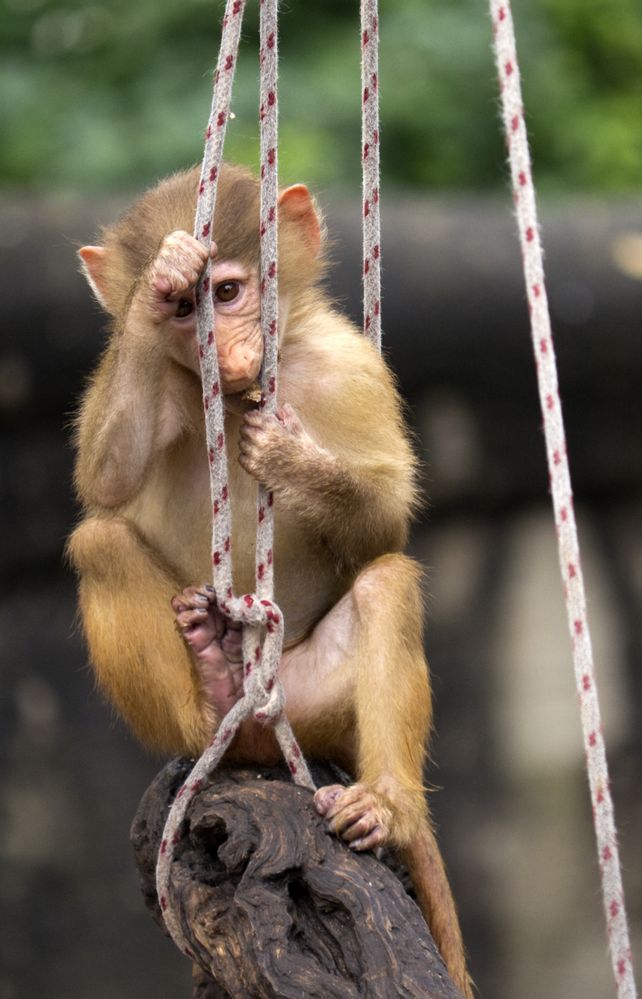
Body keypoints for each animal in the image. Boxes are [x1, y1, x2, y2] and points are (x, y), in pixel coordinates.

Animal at [70, 162, 470, 992]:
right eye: (183, 309)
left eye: (228, 291)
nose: (228, 352)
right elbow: (104, 480)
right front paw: (156, 279)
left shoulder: (351, 368)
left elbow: (385, 525)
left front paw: (293, 460)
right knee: (98, 540)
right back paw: (212, 681)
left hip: (310, 703)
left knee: (386, 583)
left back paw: (384, 804)